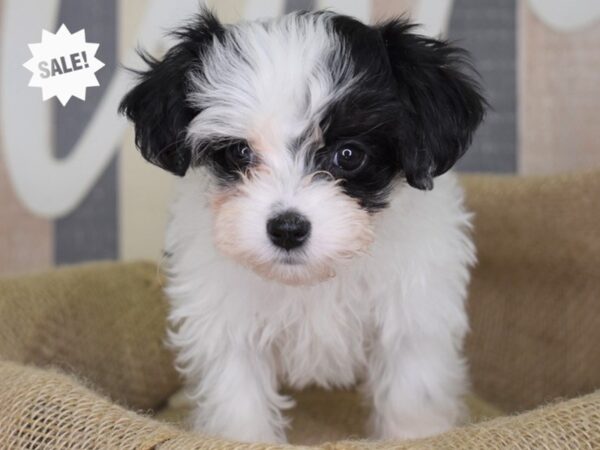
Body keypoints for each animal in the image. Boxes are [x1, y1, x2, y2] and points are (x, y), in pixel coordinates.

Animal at [119, 8, 486, 444]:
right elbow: (239, 397)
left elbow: (413, 392)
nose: (287, 229)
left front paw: (418, 434)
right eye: (240, 152)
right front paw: (245, 438)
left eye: (349, 155)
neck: (314, 279)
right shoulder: (227, 323)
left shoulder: (413, 314)